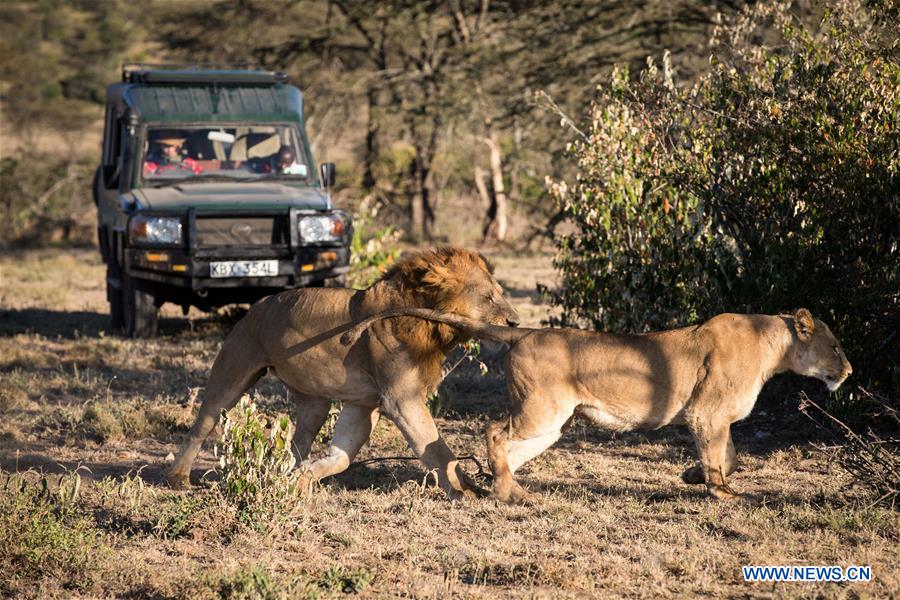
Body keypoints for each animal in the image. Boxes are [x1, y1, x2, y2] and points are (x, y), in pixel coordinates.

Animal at [167, 246, 520, 500]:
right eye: (489, 297)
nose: (515, 322)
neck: (430, 324)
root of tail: (258, 304)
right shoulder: (400, 399)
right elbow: (436, 448)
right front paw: (465, 491)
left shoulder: (363, 405)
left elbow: (342, 456)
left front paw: (303, 479)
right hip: (233, 374)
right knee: (202, 424)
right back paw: (178, 479)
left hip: (315, 403)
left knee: (299, 440)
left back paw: (285, 474)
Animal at [342, 310, 856, 502]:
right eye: (834, 346)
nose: (849, 371)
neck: (775, 345)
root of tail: (524, 332)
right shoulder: (706, 412)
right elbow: (720, 456)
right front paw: (719, 492)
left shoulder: (713, 418)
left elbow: (728, 455)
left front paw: (693, 476)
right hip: (543, 410)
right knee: (493, 432)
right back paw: (508, 492)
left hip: (552, 424)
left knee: (509, 449)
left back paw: (507, 488)